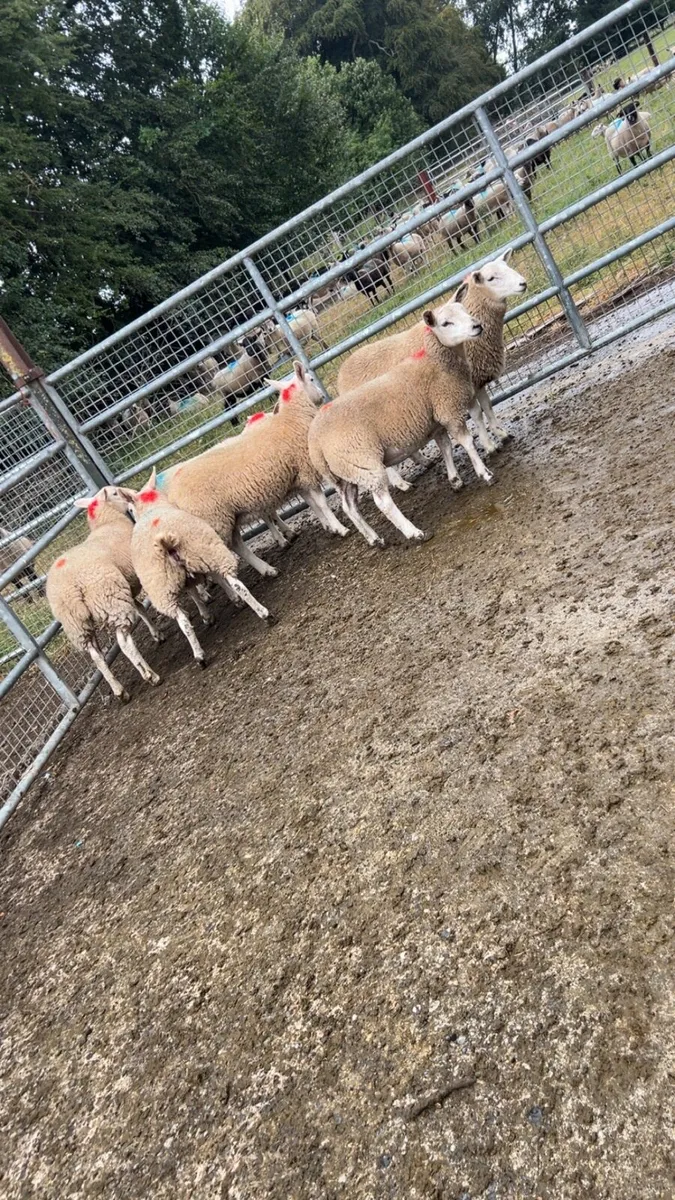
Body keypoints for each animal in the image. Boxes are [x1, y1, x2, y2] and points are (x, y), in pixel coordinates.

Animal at [45, 490, 163, 702]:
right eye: (115, 493)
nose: (131, 494)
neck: (107, 521)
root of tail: (72, 587)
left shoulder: (126, 585)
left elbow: (141, 608)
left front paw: (156, 632)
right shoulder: (131, 580)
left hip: (78, 624)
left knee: (97, 657)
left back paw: (119, 691)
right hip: (111, 599)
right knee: (124, 643)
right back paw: (151, 676)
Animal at [103, 473, 273, 667]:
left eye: (131, 510)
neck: (151, 509)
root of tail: (166, 541)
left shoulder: (185, 578)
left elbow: (194, 594)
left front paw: (207, 614)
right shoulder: (196, 570)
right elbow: (211, 584)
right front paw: (230, 602)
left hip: (164, 588)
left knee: (183, 622)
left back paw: (200, 655)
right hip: (210, 553)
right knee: (237, 584)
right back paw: (263, 613)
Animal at [161, 360, 348, 578]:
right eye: (310, 379)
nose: (322, 395)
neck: (291, 419)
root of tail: (172, 497)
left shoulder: (297, 478)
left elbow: (313, 504)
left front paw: (327, 525)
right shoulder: (306, 471)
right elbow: (321, 503)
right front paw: (338, 527)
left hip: (225, 519)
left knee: (237, 545)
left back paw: (266, 569)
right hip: (213, 521)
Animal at [308, 302, 488, 546]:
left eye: (465, 310)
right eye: (445, 323)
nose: (477, 326)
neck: (434, 361)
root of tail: (315, 442)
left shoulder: (435, 420)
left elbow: (446, 447)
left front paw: (455, 479)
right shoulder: (447, 410)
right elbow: (467, 442)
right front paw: (484, 473)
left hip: (345, 471)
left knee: (349, 507)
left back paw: (374, 539)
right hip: (364, 461)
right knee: (382, 503)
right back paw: (414, 532)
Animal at [336, 250, 526, 456]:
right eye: (491, 278)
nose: (523, 283)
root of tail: (342, 370)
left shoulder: (475, 380)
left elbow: (487, 407)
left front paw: (500, 433)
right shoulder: (464, 385)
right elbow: (479, 415)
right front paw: (490, 443)